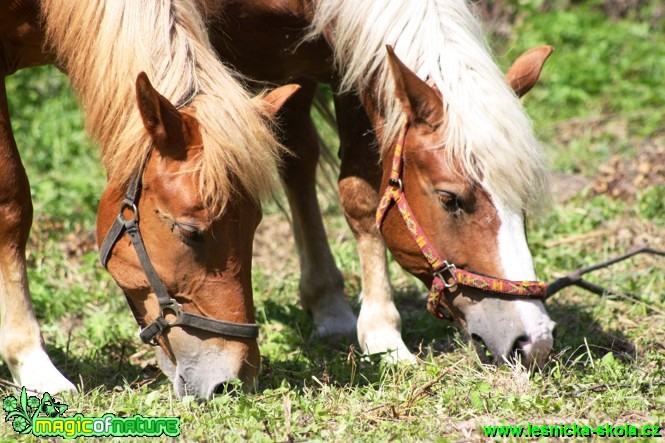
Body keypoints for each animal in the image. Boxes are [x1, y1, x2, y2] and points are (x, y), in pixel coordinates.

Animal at [200, 0, 556, 368]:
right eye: (449, 198)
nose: (534, 341)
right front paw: (382, 333)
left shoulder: (350, 62)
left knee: (297, 152)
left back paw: (326, 303)